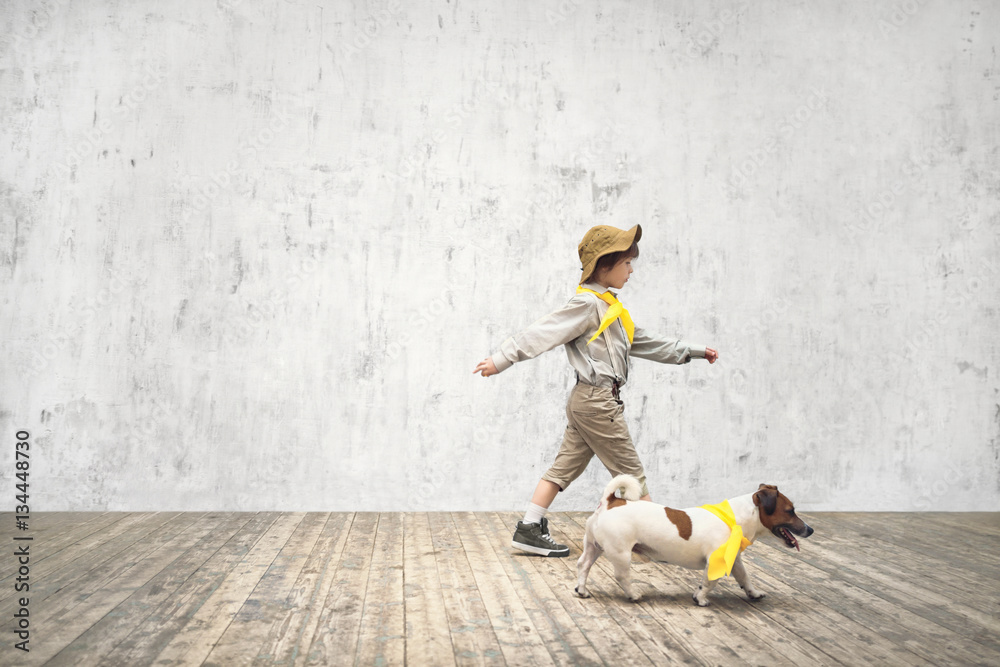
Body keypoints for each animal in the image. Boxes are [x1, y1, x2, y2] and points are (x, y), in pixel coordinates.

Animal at [580, 474, 812, 604]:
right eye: (790, 511)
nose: (810, 530)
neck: (736, 517)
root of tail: (610, 501)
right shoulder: (716, 560)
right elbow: (710, 582)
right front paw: (700, 598)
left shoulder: (734, 560)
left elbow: (744, 577)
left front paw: (753, 593)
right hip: (621, 553)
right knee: (622, 576)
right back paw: (633, 595)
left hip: (593, 547)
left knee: (583, 566)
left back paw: (581, 590)